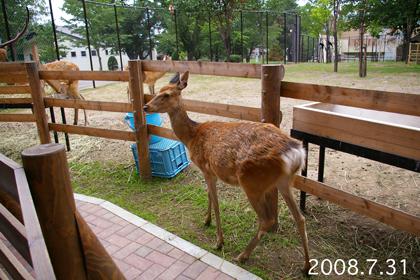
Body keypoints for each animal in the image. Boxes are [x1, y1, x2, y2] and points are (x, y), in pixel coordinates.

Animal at [144, 71, 312, 274]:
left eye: (166, 94)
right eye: (157, 91)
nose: (146, 106)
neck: (192, 137)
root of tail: (296, 152)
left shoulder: (206, 168)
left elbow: (216, 203)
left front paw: (219, 241)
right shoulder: (210, 172)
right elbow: (208, 195)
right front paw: (206, 220)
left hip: (251, 181)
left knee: (267, 220)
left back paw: (242, 255)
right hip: (284, 181)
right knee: (300, 218)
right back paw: (306, 266)